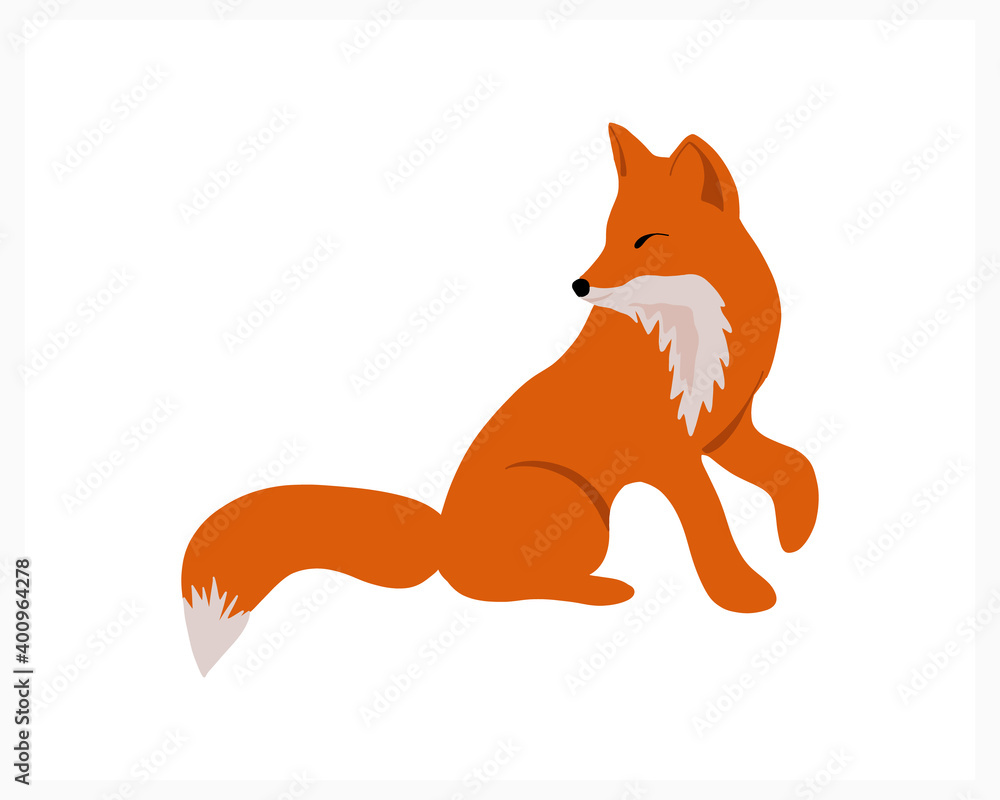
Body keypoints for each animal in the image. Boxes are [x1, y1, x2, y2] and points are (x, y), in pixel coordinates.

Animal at [181, 124, 819, 676]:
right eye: (608, 237)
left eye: (646, 240)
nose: (580, 286)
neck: (690, 333)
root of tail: (445, 539)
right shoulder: (668, 452)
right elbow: (711, 522)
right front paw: (741, 591)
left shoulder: (724, 430)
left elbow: (795, 465)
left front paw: (797, 534)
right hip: (579, 514)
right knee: (502, 590)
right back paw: (603, 591)